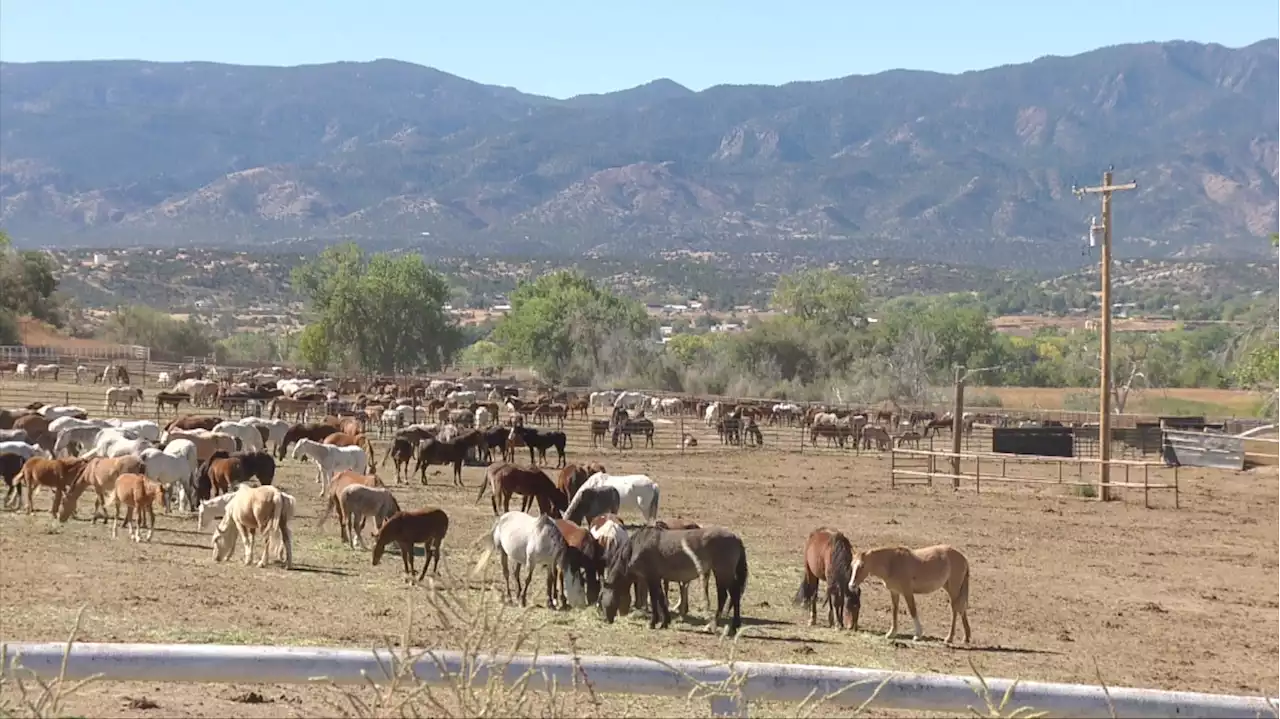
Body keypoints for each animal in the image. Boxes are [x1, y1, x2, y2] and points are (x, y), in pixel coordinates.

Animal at [601, 519, 747, 632]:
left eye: (601, 598)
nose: (607, 619)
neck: (637, 546)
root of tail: (735, 537)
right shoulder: (657, 578)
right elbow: (661, 598)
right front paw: (665, 622)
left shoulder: (651, 577)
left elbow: (654, 599)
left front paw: (653, 623)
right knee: (729, 595)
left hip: (722, 572)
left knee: (728, 595)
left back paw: (720, 626)